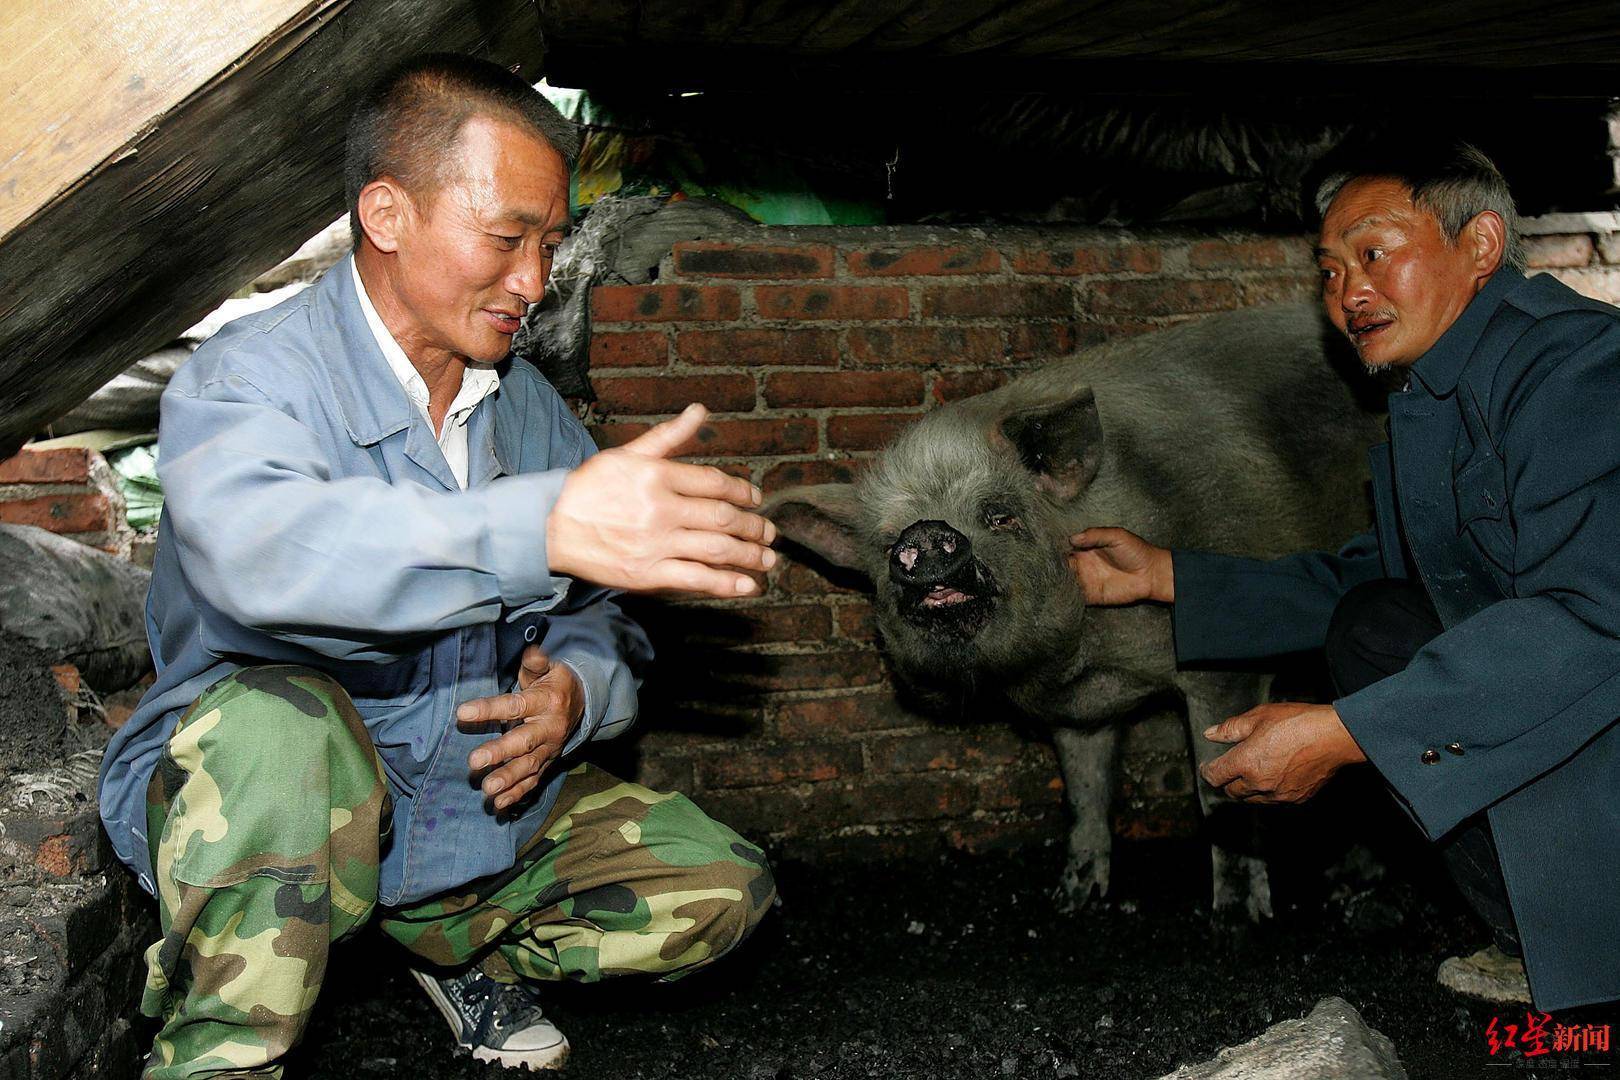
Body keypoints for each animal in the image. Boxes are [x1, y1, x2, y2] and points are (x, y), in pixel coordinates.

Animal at [764, 304, 1386, 919]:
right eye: (887, 540)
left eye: (1000, 516)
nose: (925, 532)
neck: (1089, 657)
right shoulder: (1076, 711)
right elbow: (1084, 794)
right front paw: (1071, 901)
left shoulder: (1225, 673)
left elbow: (1218, 795)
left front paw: (1235, 920)